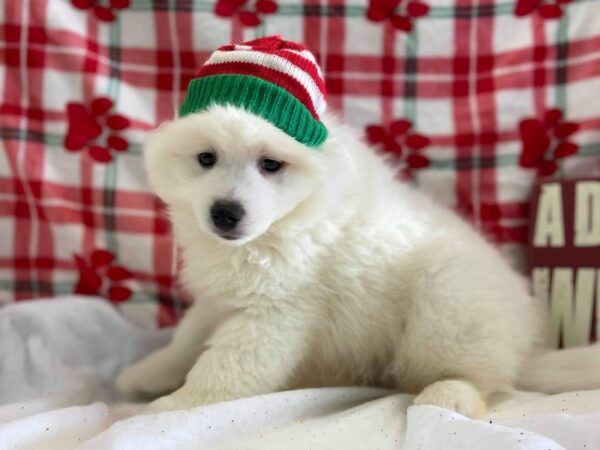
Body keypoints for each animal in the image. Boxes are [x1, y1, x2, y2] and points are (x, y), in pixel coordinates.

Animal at [116, 103, 600, 416]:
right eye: (206, 158)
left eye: (271, 164)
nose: (225, 213)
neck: (280, 229)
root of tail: (524, 349)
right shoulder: (218, 296)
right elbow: (186, 340)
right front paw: (144, 374)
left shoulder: (275, 315)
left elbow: (223, 369)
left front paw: (167, 409)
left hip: (448, 301)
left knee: (482, 378)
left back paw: (447, 396)